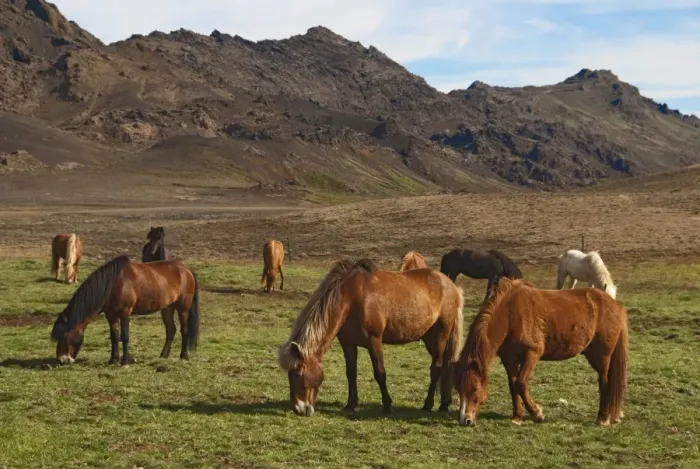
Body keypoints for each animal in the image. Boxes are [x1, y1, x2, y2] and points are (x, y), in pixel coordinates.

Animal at [50, 255, 199, 366]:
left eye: (64, 335)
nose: (61, 360)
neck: (112, 284)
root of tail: (187, 271)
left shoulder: (125, 312)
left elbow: (125, 336)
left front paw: (125, 361)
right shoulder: (110, 314)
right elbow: (114, 336)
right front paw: (113, 360)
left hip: (183, 307)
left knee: (184, 330)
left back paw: (184, 356)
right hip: (167, 308)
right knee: (171, 329)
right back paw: (163, 355)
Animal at [277, 258, 464, 417]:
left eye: (298, 374)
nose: (299, 409)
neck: (351, 297)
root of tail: (451, 286)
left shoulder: (374, 341)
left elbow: (380, 373)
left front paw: (387, 406)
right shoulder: (348, 343)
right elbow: (351, 373)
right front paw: (350, 405)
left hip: (440, 334)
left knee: (436, 368)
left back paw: (428, 404)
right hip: (429, 338)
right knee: (446, 365)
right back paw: (444, 404)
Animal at [455, 278, 628, 427]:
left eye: (474, 388)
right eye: (458, 389)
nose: (465, 420)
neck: (511, 315)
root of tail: (615, 305)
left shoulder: (532, 354)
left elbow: (520, 384)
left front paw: (537, 413)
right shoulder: (509, 360)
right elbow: (512, 386)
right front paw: (517, 417)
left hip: (602, 357)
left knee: (604, 383)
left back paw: (603, 418)